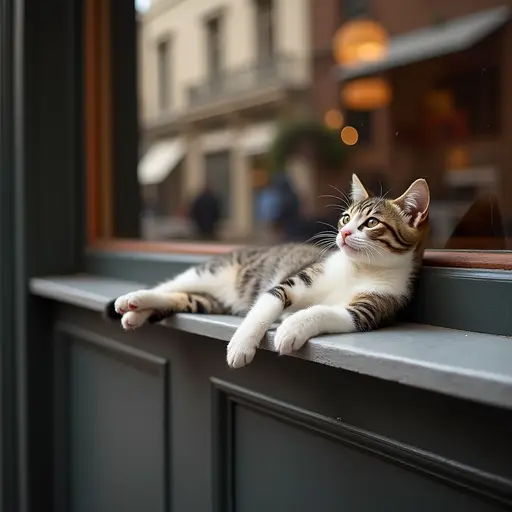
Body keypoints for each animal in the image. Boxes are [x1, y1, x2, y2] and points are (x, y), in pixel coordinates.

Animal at [106, 176, 430, 368]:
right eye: (345, 218)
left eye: (372, 222)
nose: (345, 233)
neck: (358, 268)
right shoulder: (296, 280)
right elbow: (267, 304)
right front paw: (241, 345)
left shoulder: (371, 308)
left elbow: (326, 312)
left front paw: (291, 327)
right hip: (211, 271)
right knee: (170, 285)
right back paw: (131, 299)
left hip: (210, 300)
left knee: (181, 297)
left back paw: (136, 313)